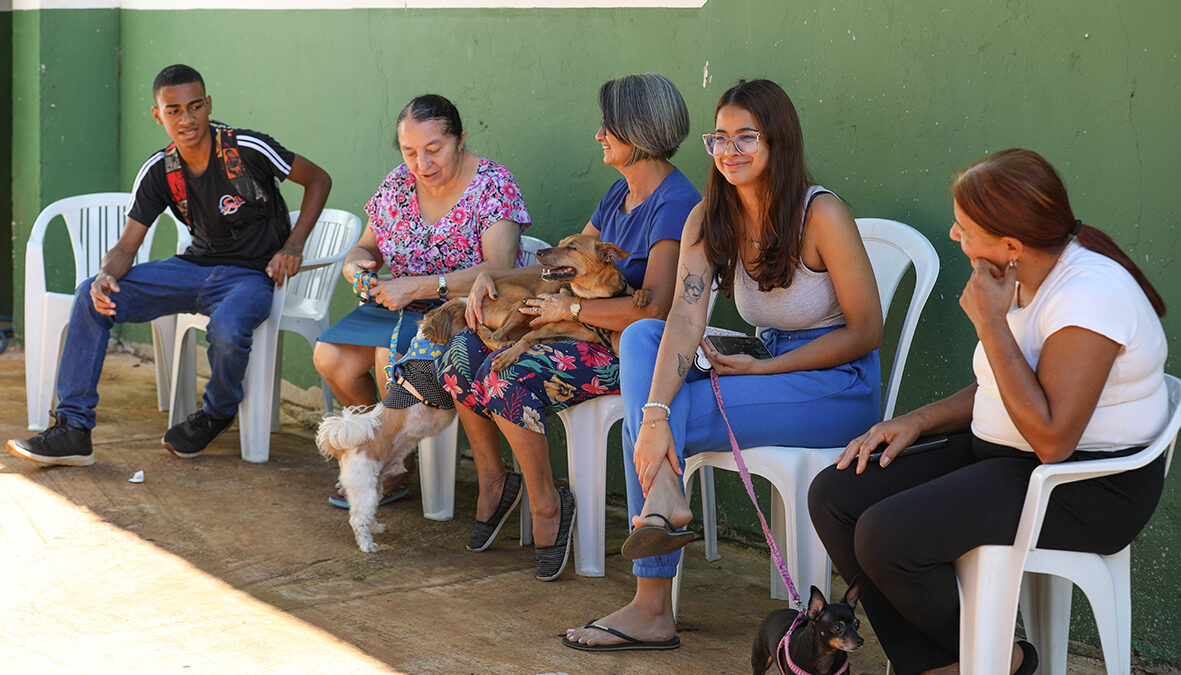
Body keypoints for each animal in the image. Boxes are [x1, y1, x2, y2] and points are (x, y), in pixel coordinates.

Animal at [316, 302, 467, 554]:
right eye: (465, 315)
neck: (427, 349)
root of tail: (347, 447)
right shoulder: (441, 394)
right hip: (364, 488)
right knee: (357, 519)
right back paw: (367, 544)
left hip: (375, 484)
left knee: (368, 513)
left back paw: (376, 527)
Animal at [444, 231, 647, 368]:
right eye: (560, 243)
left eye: (571, 247)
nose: (539, 252)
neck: (592, 296)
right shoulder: (545, 328)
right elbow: (525, 340)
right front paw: (509, 355)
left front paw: (641, 295)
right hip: (523, 302)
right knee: (495, 336)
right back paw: (504, 345)